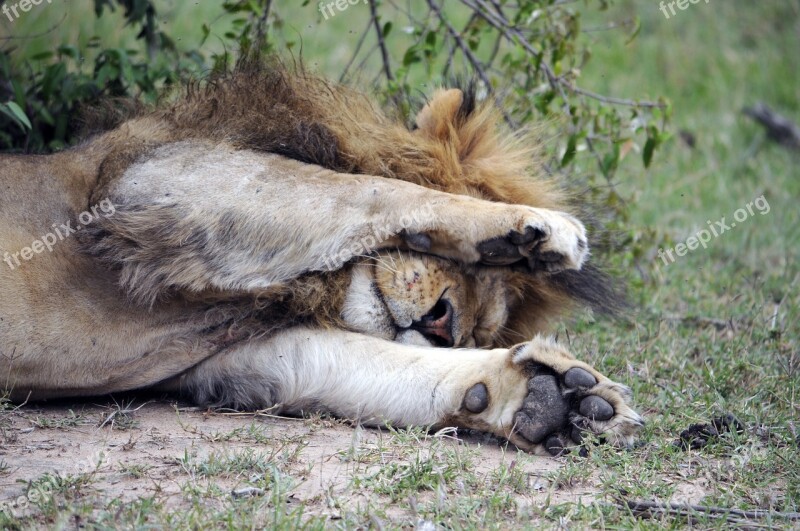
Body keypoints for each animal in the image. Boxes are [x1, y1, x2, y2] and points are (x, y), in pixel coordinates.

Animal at [0, 58, 640, 458]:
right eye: (482, 269)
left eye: (482, 331)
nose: (442, 323)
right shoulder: (150, 178)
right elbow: (364, 189)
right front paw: (535, 231)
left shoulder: (226, 362)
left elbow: (384, 366)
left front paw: (554, 399)